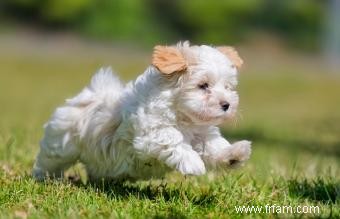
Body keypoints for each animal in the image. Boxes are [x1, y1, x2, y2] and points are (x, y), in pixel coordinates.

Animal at [32, 42, 250, 181]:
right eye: (203, 86)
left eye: (228, 87)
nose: (226, 104)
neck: (184, 117)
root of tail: (90, 94)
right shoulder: (150, 131)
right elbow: (172, 137)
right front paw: (193, 162)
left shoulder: (203, 133)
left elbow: (214, 146)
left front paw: (234, 154)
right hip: (61, 142)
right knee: (49, 161)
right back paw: (43, 178)